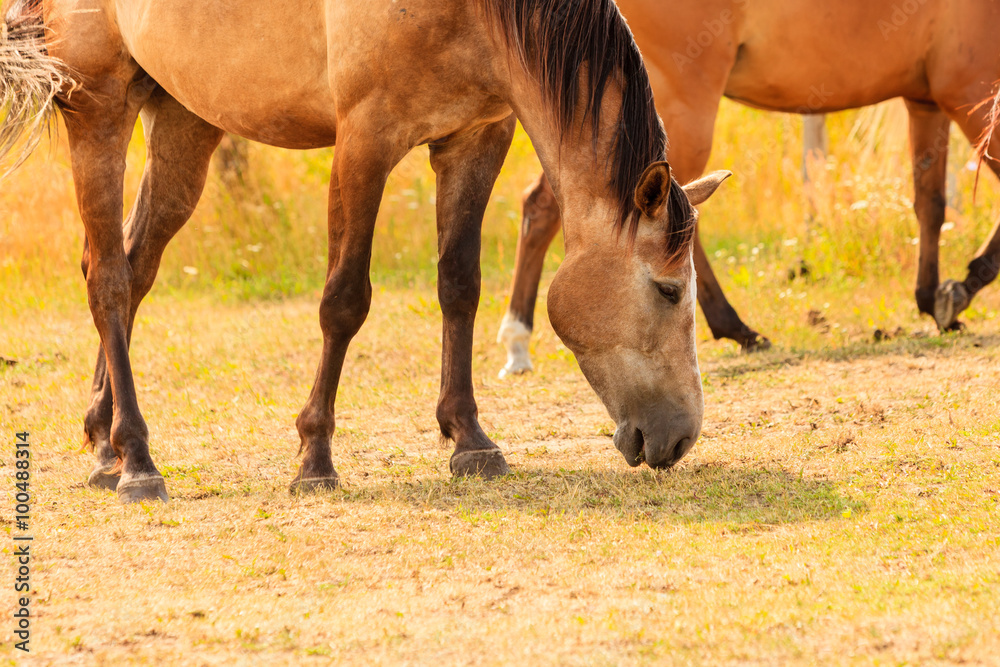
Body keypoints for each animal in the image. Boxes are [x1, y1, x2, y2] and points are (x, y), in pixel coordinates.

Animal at [0, 0, 731, 503]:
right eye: (668, 289)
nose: (679, 436)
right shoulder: (364, 141)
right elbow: (344, 301)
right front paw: (314, 458)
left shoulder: (475, 138)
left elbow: (459, 286)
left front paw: (470, 440)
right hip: (99, 109)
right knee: (108, 279)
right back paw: (137, 461)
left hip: (186, 123)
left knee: (135, 268)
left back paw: (103, 444)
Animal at [495, 0, 1000, 377]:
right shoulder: (969, 92)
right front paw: (963, 286)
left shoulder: (927, 98)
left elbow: (930, 202)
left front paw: (932, 294)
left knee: (546, 207)